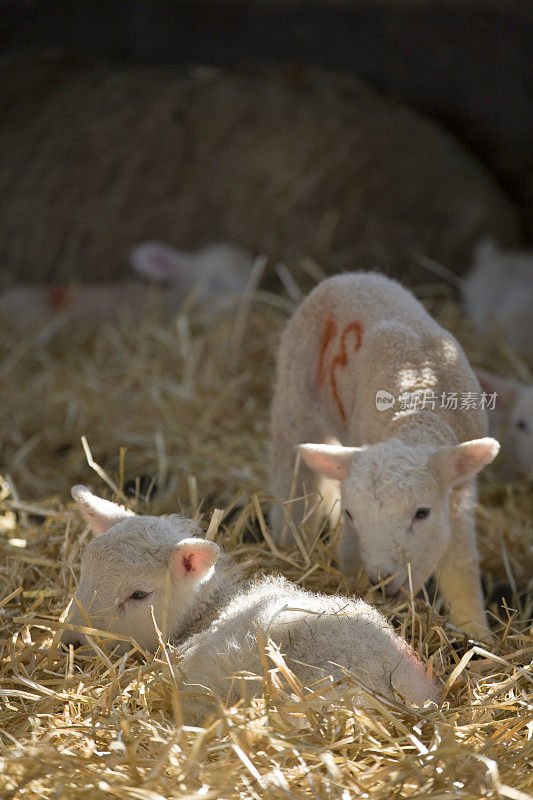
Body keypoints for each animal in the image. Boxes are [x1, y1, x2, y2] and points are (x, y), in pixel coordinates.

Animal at [270, 274, 498, 636]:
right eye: (352, 514)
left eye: (422, 513)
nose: (380, 583)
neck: (416, 414)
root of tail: (352, 275)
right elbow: (350, 549)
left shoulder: (461, 489)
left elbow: (461, 564)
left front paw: (476, 634)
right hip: (294, 399)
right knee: (291, 480)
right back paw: (287, 542)